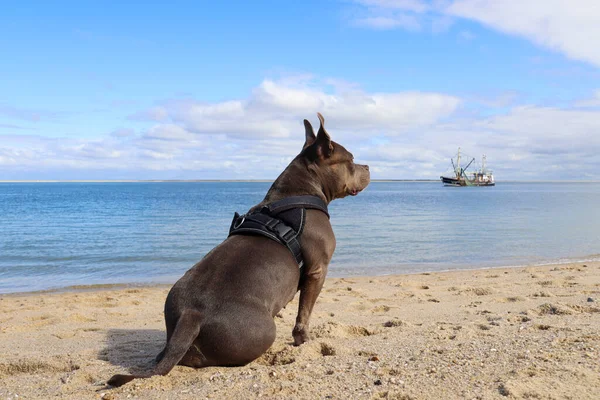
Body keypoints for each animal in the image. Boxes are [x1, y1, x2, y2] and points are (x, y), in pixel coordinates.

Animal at [108, 113, 370, 388]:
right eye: (351, 159)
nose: (367, 166)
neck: (299, 191)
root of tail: (192, 315)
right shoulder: (318, 271)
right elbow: (304, 314)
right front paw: (304, 340)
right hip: (264, 329)